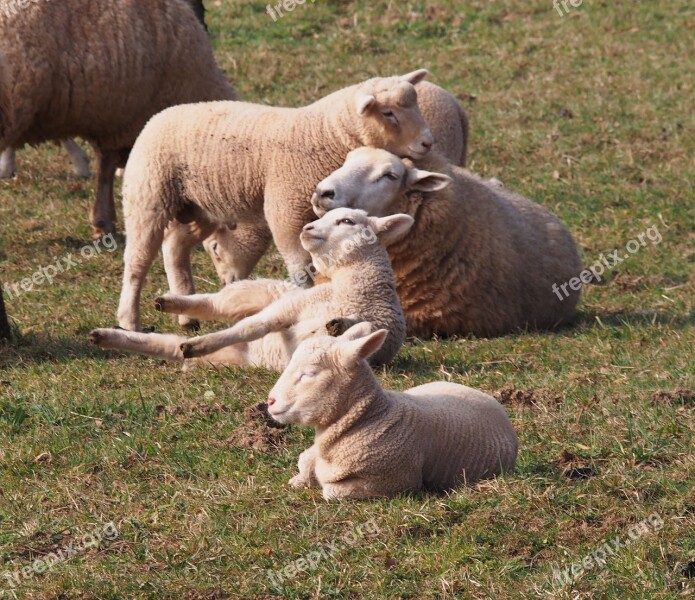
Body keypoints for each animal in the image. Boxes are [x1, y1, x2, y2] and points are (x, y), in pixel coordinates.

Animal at [90, 210, 414, 370]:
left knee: (169, 345)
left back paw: (109, 337)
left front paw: (338, 325)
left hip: (232, 355)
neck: (349, 288)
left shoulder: (383, 337)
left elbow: (361, 330)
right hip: (254, 291)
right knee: (215, 305)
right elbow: (250, 326)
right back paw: (168, 303)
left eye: (347, 221)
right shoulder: (287, 309)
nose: (307, 228)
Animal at [117, 72, 436, 332]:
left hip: (200, 207)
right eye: (388, 113)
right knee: (137, 260)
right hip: (149, 194)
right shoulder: (286, 209)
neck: (322, 134)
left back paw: (187, 316)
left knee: (175, 247)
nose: (428, 142)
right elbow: (300, 268)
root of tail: (160, 115)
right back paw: (129, 321)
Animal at [270, 322, 520, 500]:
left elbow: (330, 492)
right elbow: (303, 463)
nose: (270, 401)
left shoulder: (392, 482)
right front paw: (298, 480)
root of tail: (493, 402)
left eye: (309, 373)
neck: (372, 416)